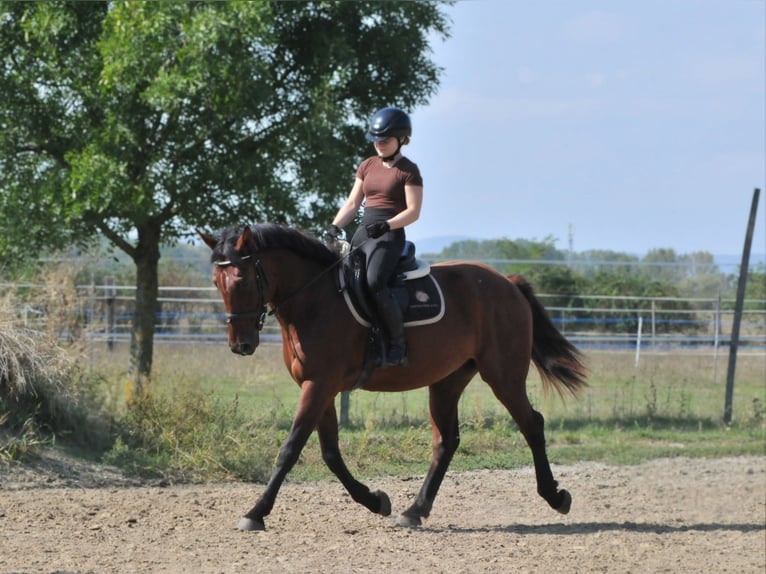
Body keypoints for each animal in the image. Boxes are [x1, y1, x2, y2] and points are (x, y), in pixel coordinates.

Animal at [198, 223, 588, 532]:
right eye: (217, 281)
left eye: (242, 280)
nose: (241, 344)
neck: (314, 299)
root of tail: (507, 282)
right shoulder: (320, 387)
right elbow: (330, 453)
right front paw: (376, 500)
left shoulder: (320, 385)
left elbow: (290, 449)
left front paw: (255, 512)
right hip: (447, 380)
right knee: (446, 441)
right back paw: (414, 511)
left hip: (503, 375)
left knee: (532, 424)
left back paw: (556, 497)